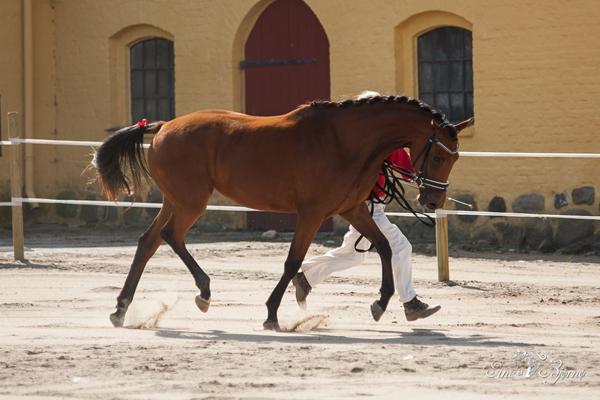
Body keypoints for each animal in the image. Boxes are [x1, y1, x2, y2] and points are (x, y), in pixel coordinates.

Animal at [95, 94, 474, 332]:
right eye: (438, 156)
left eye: (455, 157)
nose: (433, 201)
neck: (344, 142)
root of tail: (163, 126)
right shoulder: (312, 212)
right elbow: (293, 262)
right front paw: (272, 314)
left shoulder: (353, 209)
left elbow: (383, 247)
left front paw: (382, 303)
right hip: (191, 202)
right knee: (169, 236)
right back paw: (203, 293)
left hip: (175, 200)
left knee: (148, 242)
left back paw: (120, 308)